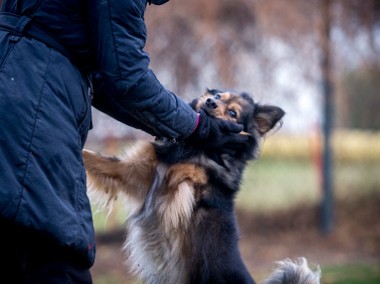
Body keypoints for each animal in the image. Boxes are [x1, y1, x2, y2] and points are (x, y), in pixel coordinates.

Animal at [83, 89, 320, 284]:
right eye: (217, 95)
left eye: (233, 113)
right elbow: (102, 161)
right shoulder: (137, 172)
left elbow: (178, 187)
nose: (210, 101)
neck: (198, 148)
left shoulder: (186, 185)